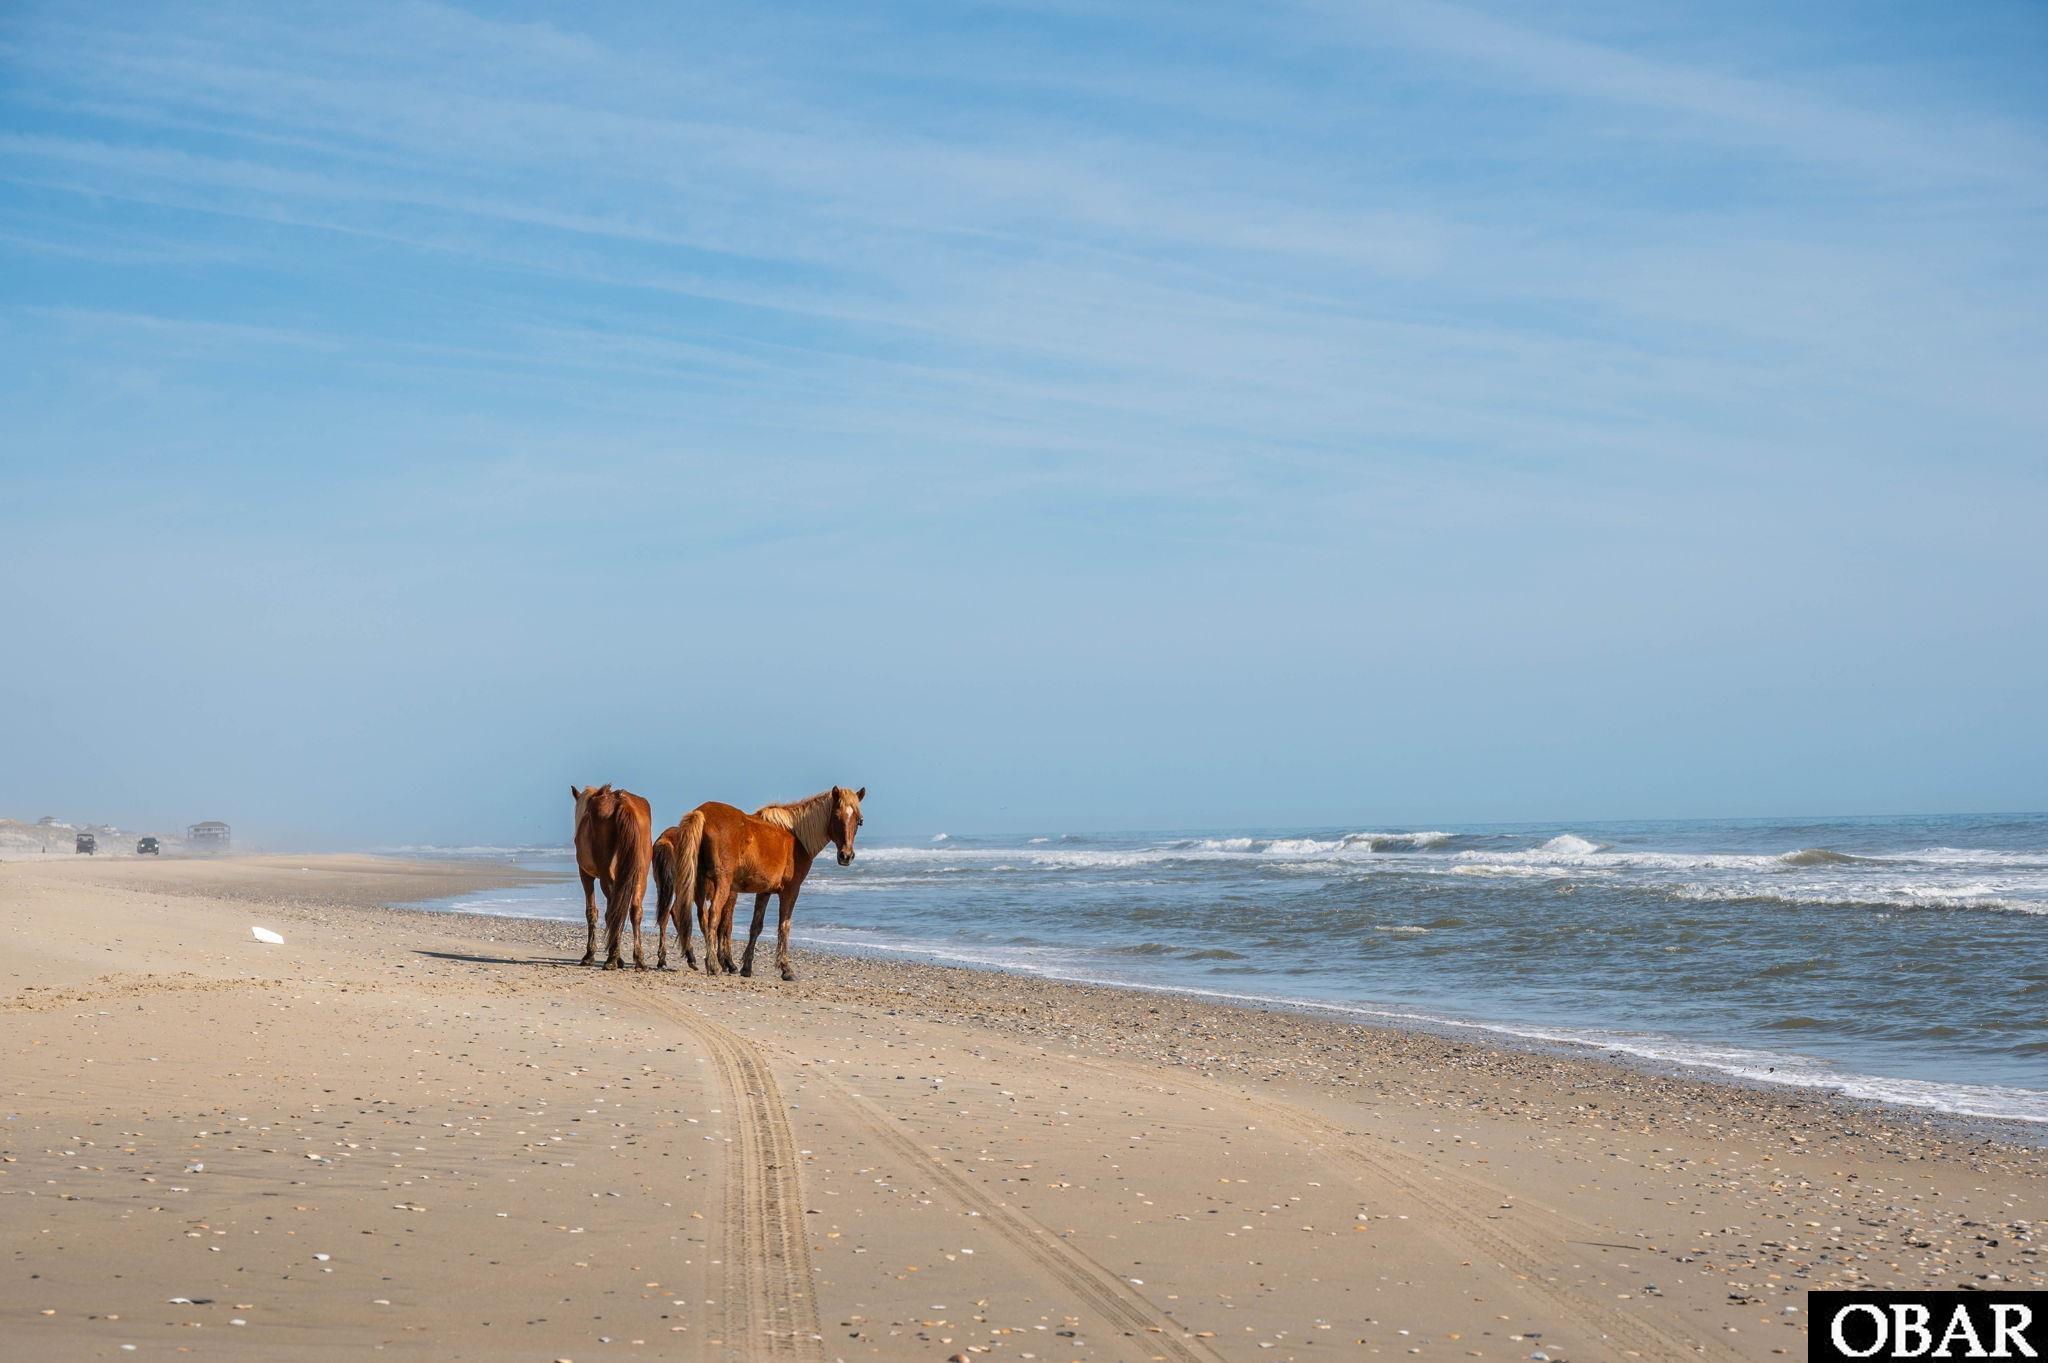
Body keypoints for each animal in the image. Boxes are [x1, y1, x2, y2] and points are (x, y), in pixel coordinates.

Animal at [570, 783, 654, 970]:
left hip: (607, 876)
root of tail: (622, 804)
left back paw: (612, 959)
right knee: (634, 910)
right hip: (640, 875)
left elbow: (592, 912)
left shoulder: (585, 874)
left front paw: (590, 955)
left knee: (614, 911)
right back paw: (638, 959)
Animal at [661, 785, 864, 982]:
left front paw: (747, 967)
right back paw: (713, 965)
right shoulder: (791, 891)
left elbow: (756, 927)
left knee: (701, 916)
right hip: (722, 884)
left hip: (700, 883)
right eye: (836, 816)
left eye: (859, 821)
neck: (796, 836)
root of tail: (701, 813)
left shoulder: (764, 891)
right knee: (713, 916)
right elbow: (784, 926)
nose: (846, 856)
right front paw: (785, 969)